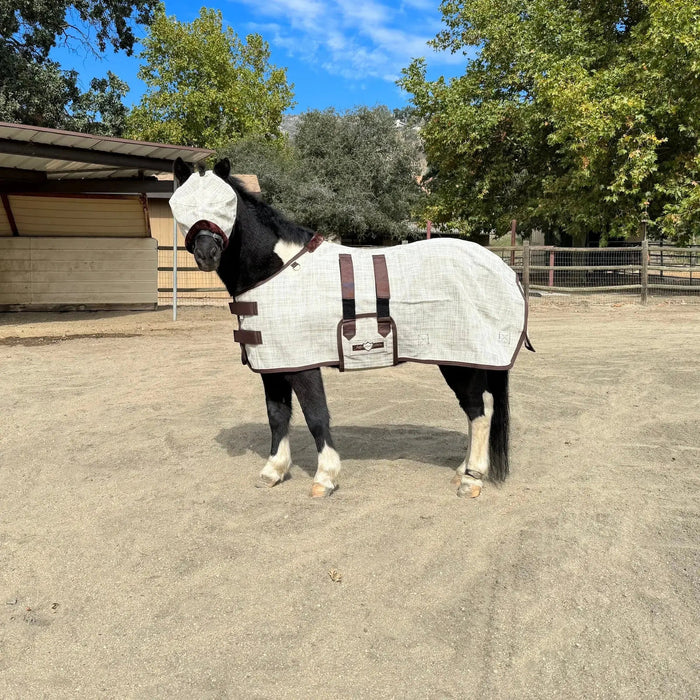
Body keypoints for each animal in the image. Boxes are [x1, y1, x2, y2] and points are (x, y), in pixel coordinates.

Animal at [170, 157, 531, 499]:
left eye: (225, 204)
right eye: (181, 205)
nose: (207, 253)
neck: (279, 272)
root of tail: (506, 271)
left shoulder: (303, 365)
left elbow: (316, 416)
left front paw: (324, 478)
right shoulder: (273, 364)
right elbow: (277, 415)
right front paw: (273, 470)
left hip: (461, 362)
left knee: (479, 412)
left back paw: (472, 479)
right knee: (475, 412)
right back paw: (463, 470)